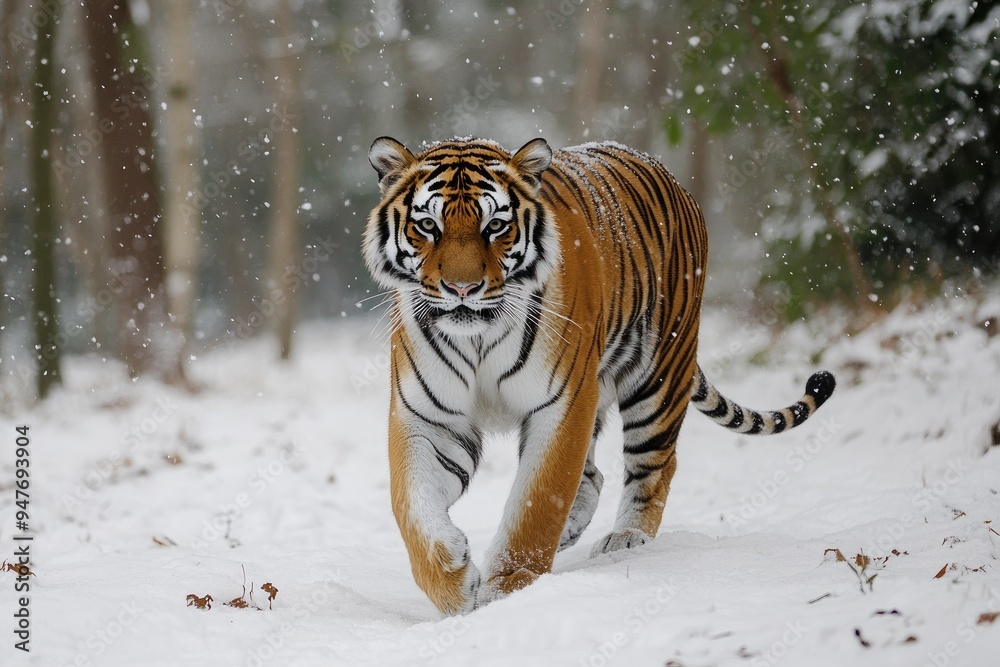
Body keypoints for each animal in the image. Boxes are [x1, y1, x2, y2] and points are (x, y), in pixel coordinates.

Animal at [363, 136, 836, 616]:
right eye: (427, 225)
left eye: (495, 226)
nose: (462, 289)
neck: (478, 338)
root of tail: (674, 181)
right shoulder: (428, 418)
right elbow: (411, 505)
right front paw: (454, 586)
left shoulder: (562, 404)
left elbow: (538, 503)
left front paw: (509, 591)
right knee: (592, 477)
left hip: (658, 379)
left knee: (655, 465)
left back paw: (626, 539)